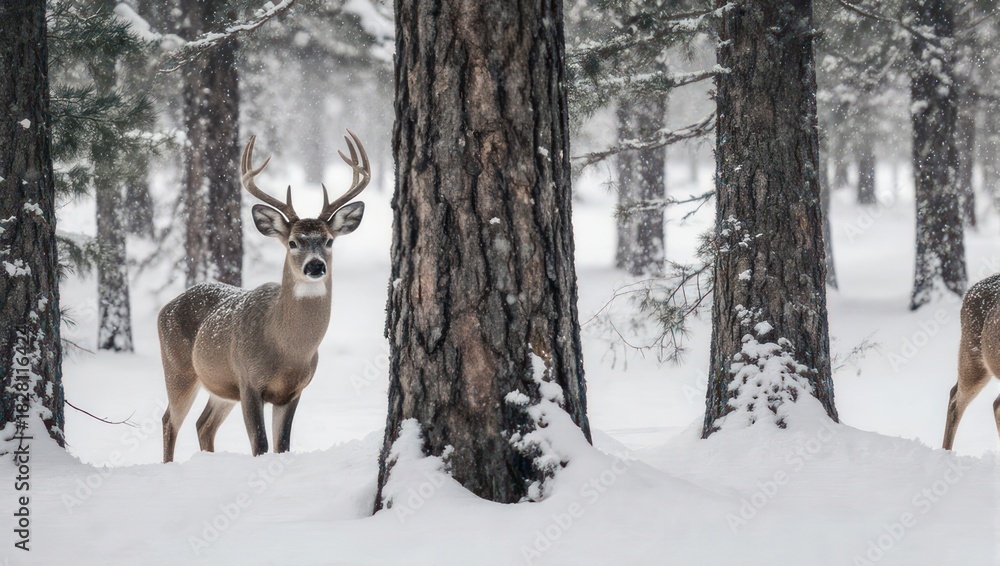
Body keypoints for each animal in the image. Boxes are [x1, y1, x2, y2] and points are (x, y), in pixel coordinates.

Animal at [158, 131, 370, 463]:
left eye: (329, 241)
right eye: (293, 242)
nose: (315, 265)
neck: (287, 350)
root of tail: (167, 306)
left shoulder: (293, 391)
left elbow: (282, 445)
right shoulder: (248, 381)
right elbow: (260, 445)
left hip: (220, 385)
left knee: (203, 424)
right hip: (178, 369)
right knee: (170, 420)